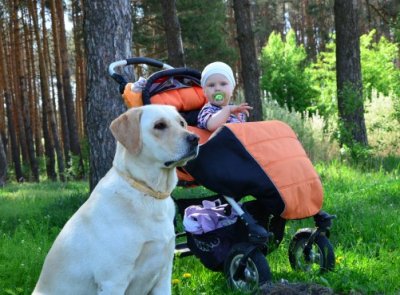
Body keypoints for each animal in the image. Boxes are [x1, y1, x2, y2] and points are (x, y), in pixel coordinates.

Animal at [33, 106, 199, 295]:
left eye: (182, 123)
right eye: (159, 125)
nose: (195, 138)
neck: (148, 193)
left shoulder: (164, 275)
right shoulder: (113, 280)